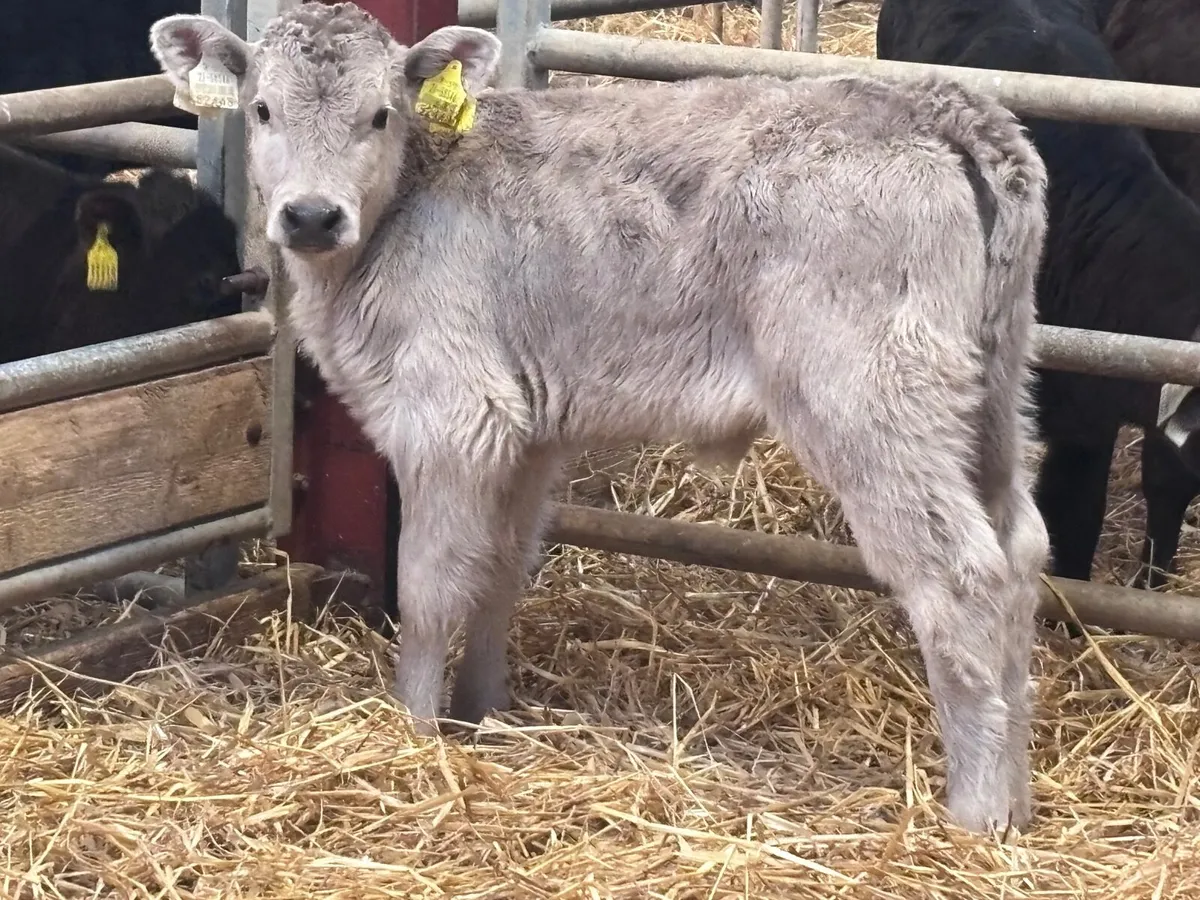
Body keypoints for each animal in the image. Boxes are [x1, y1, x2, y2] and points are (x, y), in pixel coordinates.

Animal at [150, 1, 1051, 833]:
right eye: (263, 109)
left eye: (380, 114)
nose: (310, 216)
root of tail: (930, 103)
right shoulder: (530, 433)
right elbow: (499, 571)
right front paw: (479, 715)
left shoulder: (453, 415)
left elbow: (431, 586)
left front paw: (412, 733)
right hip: (992, 398)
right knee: (1021, 552)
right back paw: (1018, 797)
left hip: (867, 400)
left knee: (960, 574)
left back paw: (974, 814)